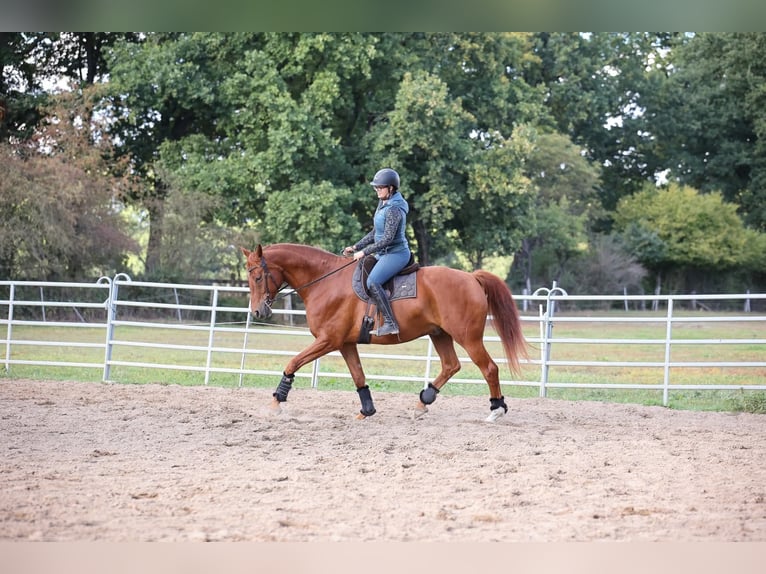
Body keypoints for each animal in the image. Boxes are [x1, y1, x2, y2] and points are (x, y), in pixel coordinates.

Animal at [241, 243, 528, 422]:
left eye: (257, 277)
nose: (258, 312)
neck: (325, 281)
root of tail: (471, 278)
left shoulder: (328, 340)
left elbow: (293, 362)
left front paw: (276, 402)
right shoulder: (345, 344)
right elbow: (358, 375)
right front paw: (367, 410)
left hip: (468, 338)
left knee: (489, 368)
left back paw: (496, 410)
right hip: (439, 334)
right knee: (451, 366)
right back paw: (422, 402)